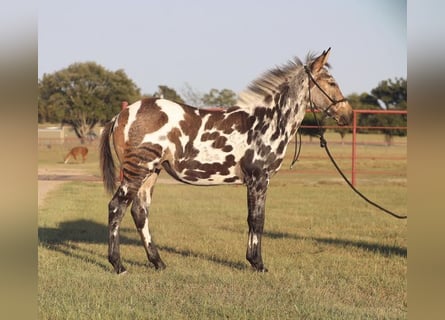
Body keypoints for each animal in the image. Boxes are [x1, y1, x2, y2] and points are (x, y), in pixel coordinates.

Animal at [99, 48, 350, 274]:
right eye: (331, 82)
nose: (346, 115)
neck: (267, 121)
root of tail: (121, 115)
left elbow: (253, 219)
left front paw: (253, 260)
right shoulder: (259, 180)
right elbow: (257, 219)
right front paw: (257, 264)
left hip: (151, 173)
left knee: (139, 212)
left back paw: (158, 263)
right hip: (137, 171)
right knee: (116, 208)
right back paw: (118, 265)